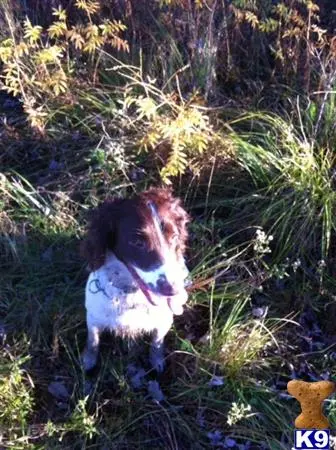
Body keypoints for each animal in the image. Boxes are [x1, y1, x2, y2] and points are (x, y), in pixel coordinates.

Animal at [80, 188, 190, 370]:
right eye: (137, 242)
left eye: (174, 237)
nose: (173, 290)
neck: (130, 293)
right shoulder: (93, 317)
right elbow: (92, 341)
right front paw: (88, 361)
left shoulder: (164, 320)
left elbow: (157, 343)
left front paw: (156, 362)